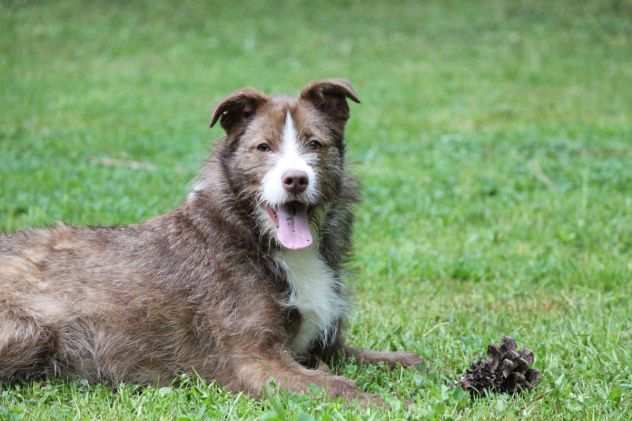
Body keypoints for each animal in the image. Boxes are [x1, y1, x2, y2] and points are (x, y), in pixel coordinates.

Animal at [2, 79, 422, 404]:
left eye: (314, 144)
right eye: (263, 147)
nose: (295, 179)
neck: (251, 234)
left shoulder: (326, 346)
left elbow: (400, 360)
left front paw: (412, 364)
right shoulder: (253, 360)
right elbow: (339, 388)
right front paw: (394, 405)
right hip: (32, 332)